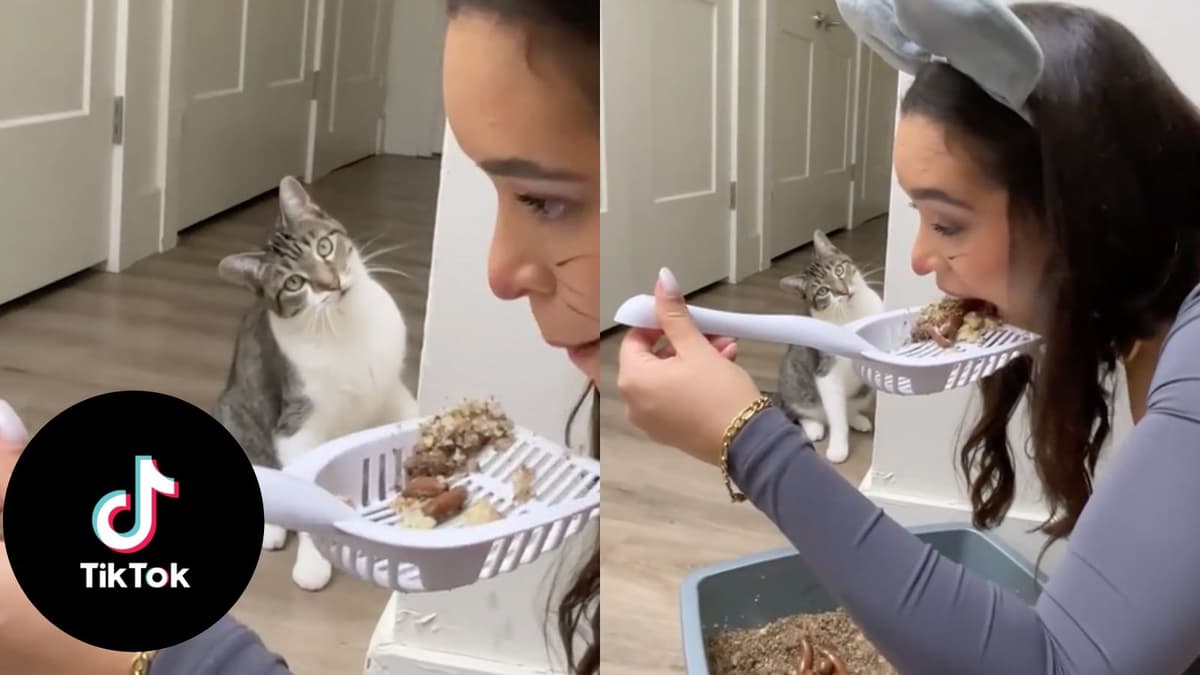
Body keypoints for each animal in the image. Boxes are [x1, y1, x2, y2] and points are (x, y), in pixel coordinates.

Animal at [216, 174, 422, 588]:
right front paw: (313, 563)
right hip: (233, 414)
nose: (331, 283)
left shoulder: (392, 392)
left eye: (324, 246)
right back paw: (274, 530)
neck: (344, 324)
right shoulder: (297, 426)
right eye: (295, 283)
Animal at [772, 228, 888, 458]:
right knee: (804, 411)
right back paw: (814, 427)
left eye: (839, 270)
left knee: (850, 406)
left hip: (863, 393)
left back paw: (857, 419)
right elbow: (836, 415)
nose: (844, 291)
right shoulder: (826, 372)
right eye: (823, 291)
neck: (852, 313)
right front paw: (838, 449)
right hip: (793, 380)